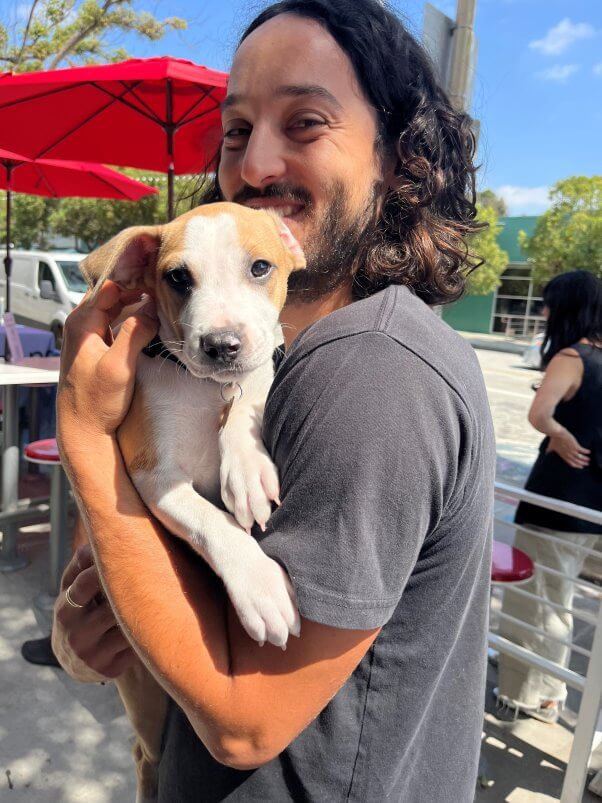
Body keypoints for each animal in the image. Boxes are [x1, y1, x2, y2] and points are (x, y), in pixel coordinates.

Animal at [80, 203, 304, 803]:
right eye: (178, 278)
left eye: (260, 267)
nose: (222, 345)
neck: (204, 390)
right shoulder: (152, 476)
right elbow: (215, 524)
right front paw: (259, 586)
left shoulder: (259, 364)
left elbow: (254, 384)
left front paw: (245, 464)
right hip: (145, 693)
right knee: (145, 756)